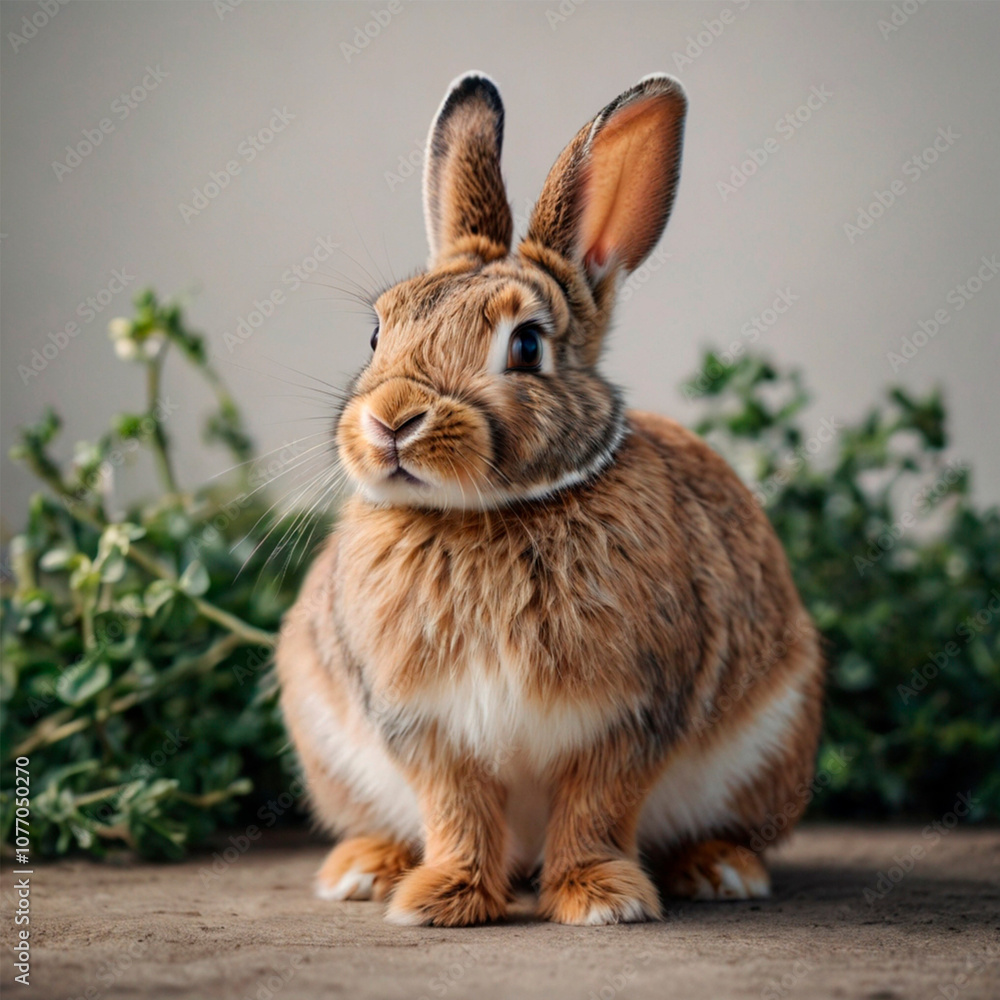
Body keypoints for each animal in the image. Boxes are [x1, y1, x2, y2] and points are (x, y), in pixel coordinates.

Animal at [275, 71, 825, 927]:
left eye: (527, 345)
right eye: (377, 332)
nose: (392, 419)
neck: (490, 514)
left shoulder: (627, 718)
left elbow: (596, 806)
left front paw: (600, 899)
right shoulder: (427, 727)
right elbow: (457, 809)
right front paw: (441, 899)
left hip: (771, 744)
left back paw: (720, 869)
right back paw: (365, 869)